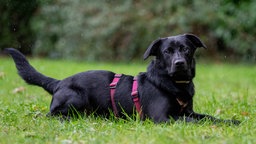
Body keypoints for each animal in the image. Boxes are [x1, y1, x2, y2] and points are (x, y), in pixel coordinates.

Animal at [5, 33, 240, 124]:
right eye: (167, 52)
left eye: (186, 49)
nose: (179, 63)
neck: (175, 84)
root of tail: (59, 82)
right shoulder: (161, 117)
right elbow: (191, 121)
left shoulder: (188, 111)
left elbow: (207, 117)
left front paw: (231, 121)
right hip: (75, 98)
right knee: (51, 115)